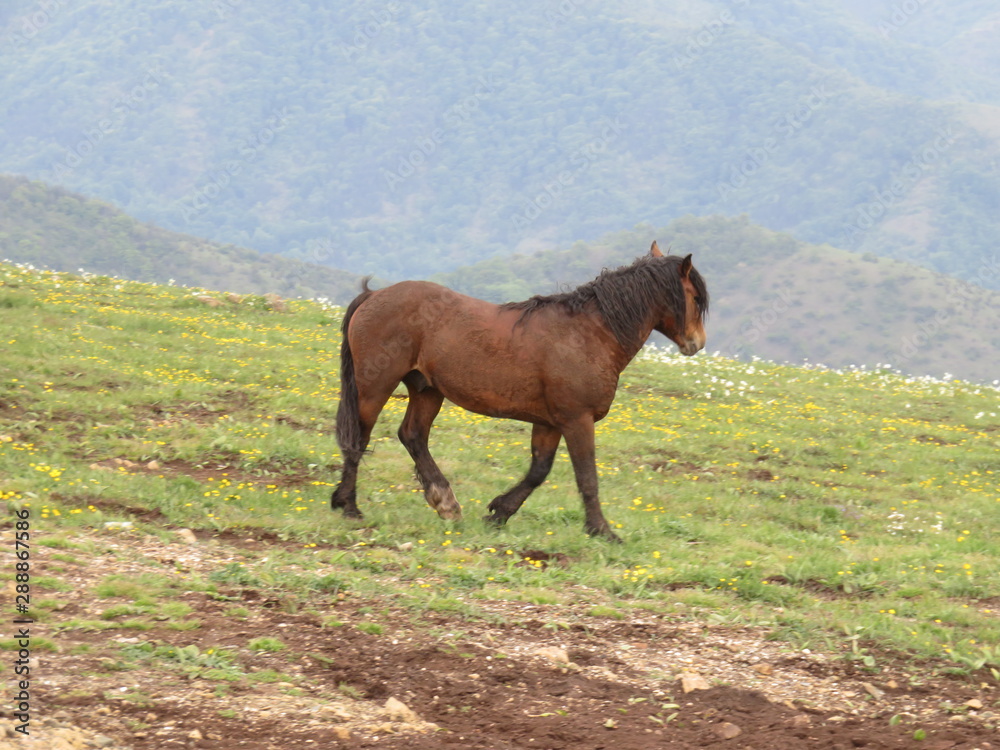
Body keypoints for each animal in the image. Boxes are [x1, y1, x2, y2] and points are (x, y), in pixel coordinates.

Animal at [330, 241, 709, 541]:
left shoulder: (549, 423)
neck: (588, 334)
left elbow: (539, 471)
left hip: (427, 390)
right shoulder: (577, 420)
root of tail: (374, 295)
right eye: (693, 296)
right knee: (359, 439)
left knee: (413, 436)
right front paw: (602, 530)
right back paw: (349, 507)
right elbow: (587, 477)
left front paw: (499, 512)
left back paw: (444, 502)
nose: (697, 343)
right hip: (374, 387)